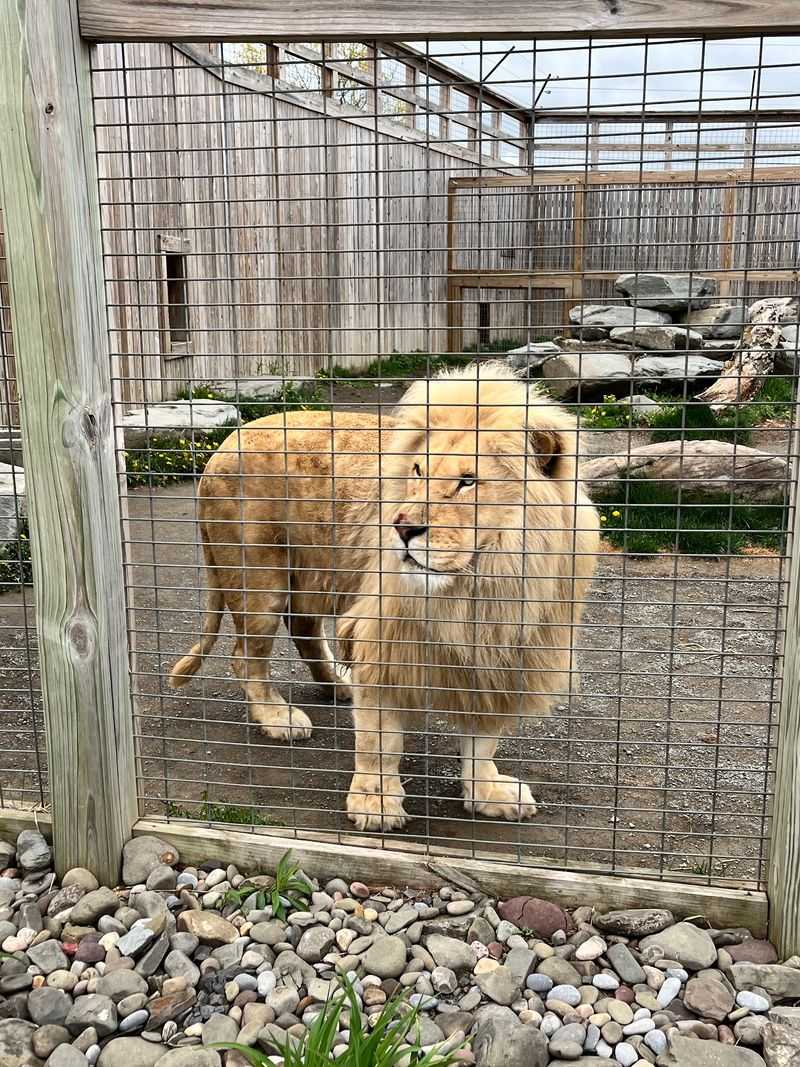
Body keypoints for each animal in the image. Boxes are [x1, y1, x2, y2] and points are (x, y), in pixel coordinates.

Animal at [170, 362, 599, 831]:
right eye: (417, 471)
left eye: (467, 482)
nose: (403, 527)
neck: (478, 589)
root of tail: (222, 447)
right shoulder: (383, 638)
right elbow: (381, 740)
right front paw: (375, 805)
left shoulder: (503, 658)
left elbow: (483, 741)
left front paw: (486, 791)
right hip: (260, 580)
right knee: (246, 657)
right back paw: (279, 717)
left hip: (312, 575)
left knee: (303, 631)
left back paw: (338, 684)